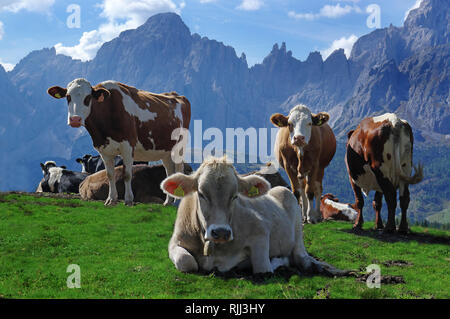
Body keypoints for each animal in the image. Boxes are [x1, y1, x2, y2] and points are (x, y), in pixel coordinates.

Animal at [47, 79, 190, 206]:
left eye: (88, 98)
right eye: (68, 97)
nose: (75, 120)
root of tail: (177, 96)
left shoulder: (128, 146)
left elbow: (127, 174)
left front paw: (128, 200)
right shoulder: (104, 150)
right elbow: (110, 175)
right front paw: (111, 200)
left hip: (179, 147)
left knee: (179, 169)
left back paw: (177, 202)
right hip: (166, 150)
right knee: (169, 171)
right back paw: (168, 201)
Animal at [162, 158, 348, 278]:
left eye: (235, 196)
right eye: (201, 194)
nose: (221, 232)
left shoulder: (261, 231)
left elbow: (263, 269)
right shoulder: (175, 241)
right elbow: (186, 261)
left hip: (296, 230)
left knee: (300, 257)